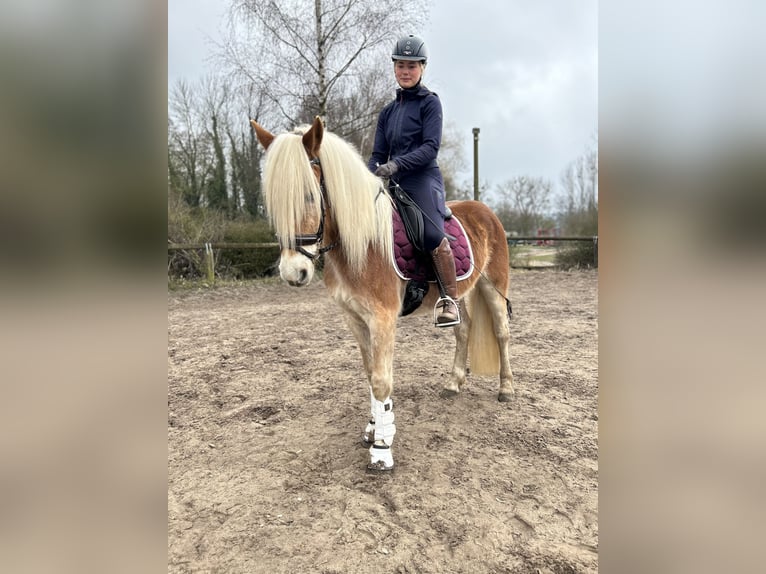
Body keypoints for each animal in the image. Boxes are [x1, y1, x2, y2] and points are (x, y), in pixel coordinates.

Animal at [250, 116, 514, 471]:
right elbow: (369, 373)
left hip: (494, 287)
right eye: (273, 203)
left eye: (309, 195)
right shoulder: (354, 318)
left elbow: (381, 380)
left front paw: (382, 449)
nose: (294, 273)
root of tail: (484, 210)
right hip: (457, 295)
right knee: (464, 331)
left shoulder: (383, 318)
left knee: (501, 333)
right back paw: (453, 383)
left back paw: (506, 389)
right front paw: (374, 428)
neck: (361, 243)